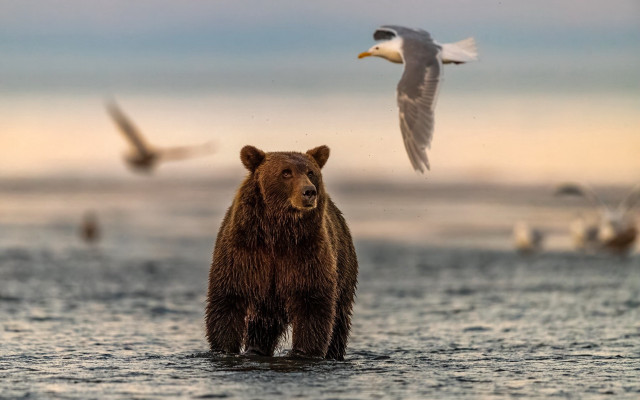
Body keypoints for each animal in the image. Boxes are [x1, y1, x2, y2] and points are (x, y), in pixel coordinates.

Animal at [205, 145, 358, 360]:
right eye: (286, 172)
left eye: (311, 172)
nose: (309, 191)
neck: (278, 232)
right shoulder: (244, 252)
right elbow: (228, 300)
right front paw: (224, 349)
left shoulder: (306, 253)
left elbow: (313, 304)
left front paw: (304, 352)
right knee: (263, 325)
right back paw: (256, 349)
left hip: (344, 269)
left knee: (339, 320)